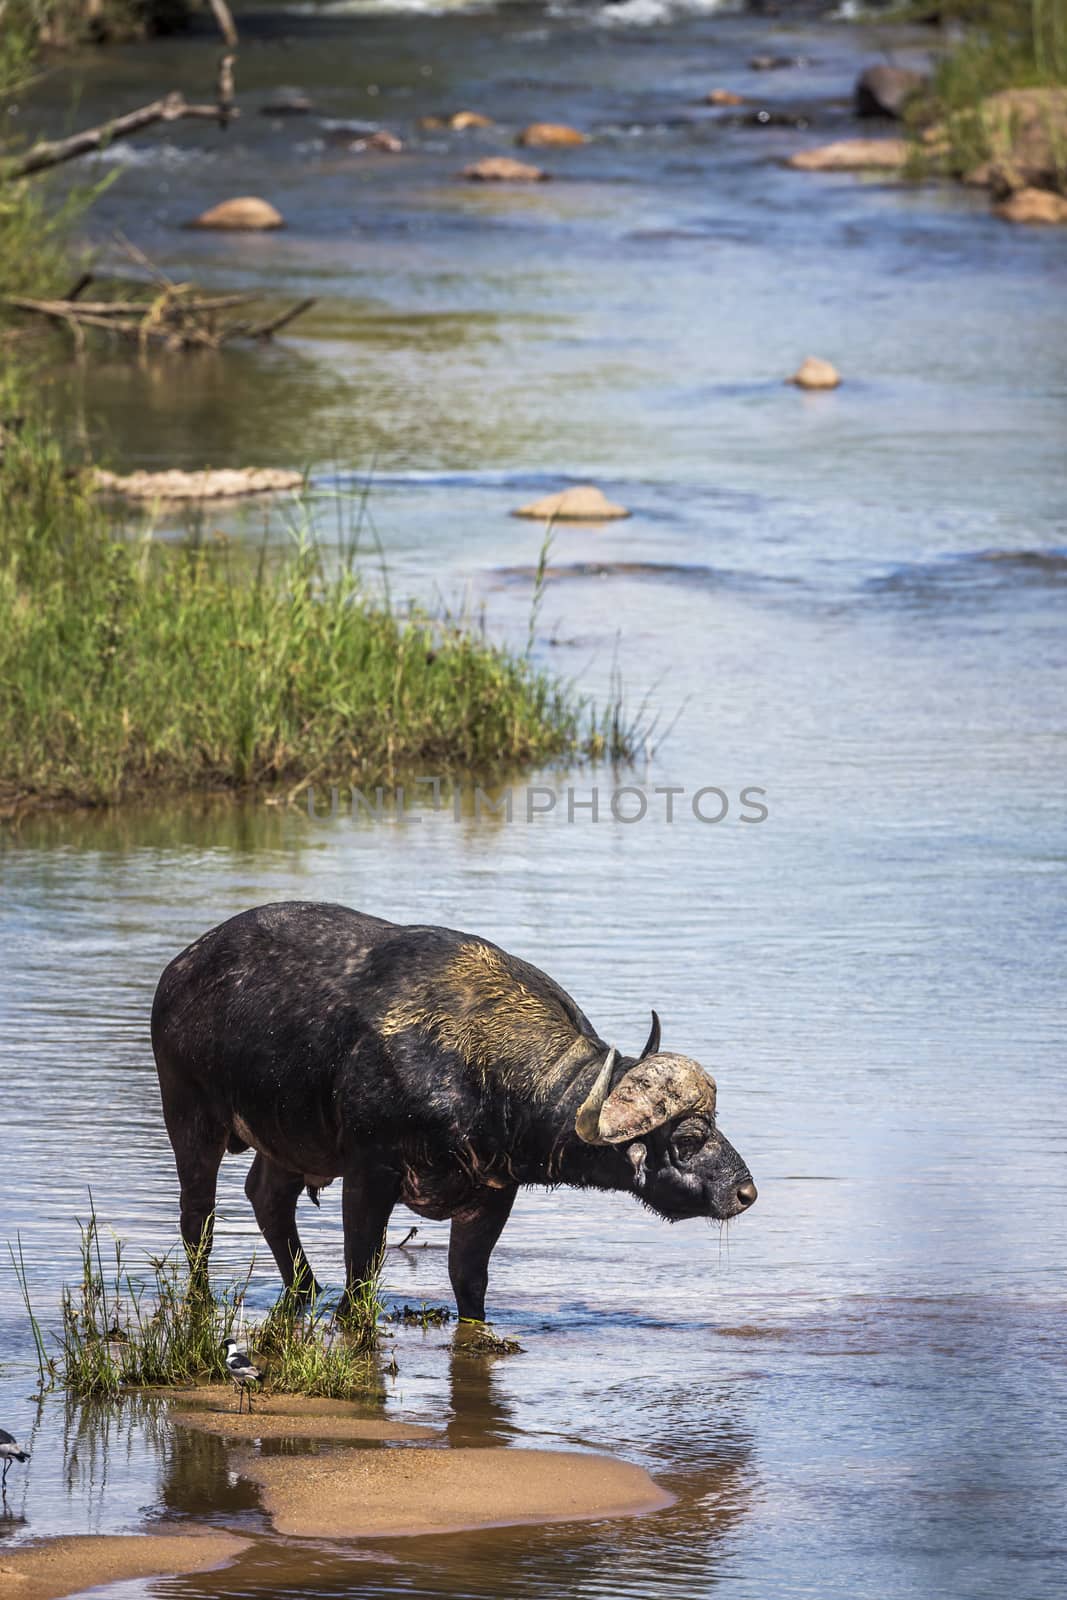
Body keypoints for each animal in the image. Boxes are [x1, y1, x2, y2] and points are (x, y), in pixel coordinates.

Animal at [154, 908, 758, 1318]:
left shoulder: (493, 1193)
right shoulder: (370, 1174)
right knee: (197, 1217)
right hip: (189, 1118)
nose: (746, 1192)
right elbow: (362, 1272)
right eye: (688, 1138)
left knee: (267, 1198)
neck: (477, 1067)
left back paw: (305, 1291)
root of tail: (180, 970)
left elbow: (469, 1279)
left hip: (289, 1140)